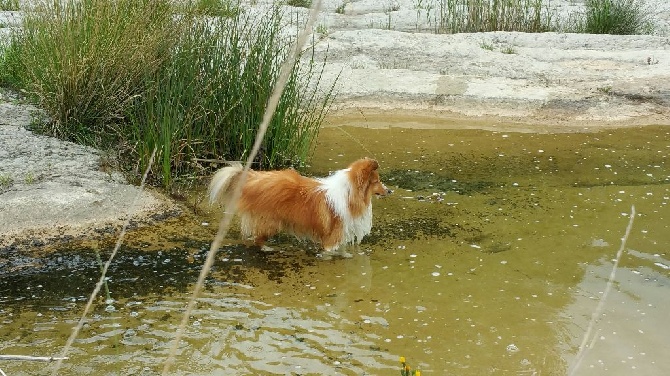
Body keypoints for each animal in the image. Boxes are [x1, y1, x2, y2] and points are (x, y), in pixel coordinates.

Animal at [207, 158, 392, 258]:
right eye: (376, 181)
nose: (390, 191)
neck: (349, 194)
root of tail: (254, 178)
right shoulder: (331, 238)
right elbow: (329, 252)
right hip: (271, 223)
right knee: (258, 240)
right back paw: (269, 248)